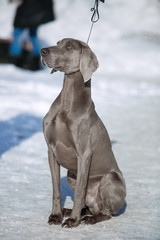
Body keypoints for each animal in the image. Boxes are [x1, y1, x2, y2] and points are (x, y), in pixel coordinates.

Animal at [40, 38, 126, 229]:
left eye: (69, 46)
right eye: (57, 42)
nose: (42, 51)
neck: (67, 102)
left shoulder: (84, 154)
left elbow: (79, 192)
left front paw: (72, 221)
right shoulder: (51, 151)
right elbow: (56, 189)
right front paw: (56, 216)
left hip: (110, 178)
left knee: (106, 213)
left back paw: (87, 218)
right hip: (71, 175)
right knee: (90, 206)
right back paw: (71, 211)